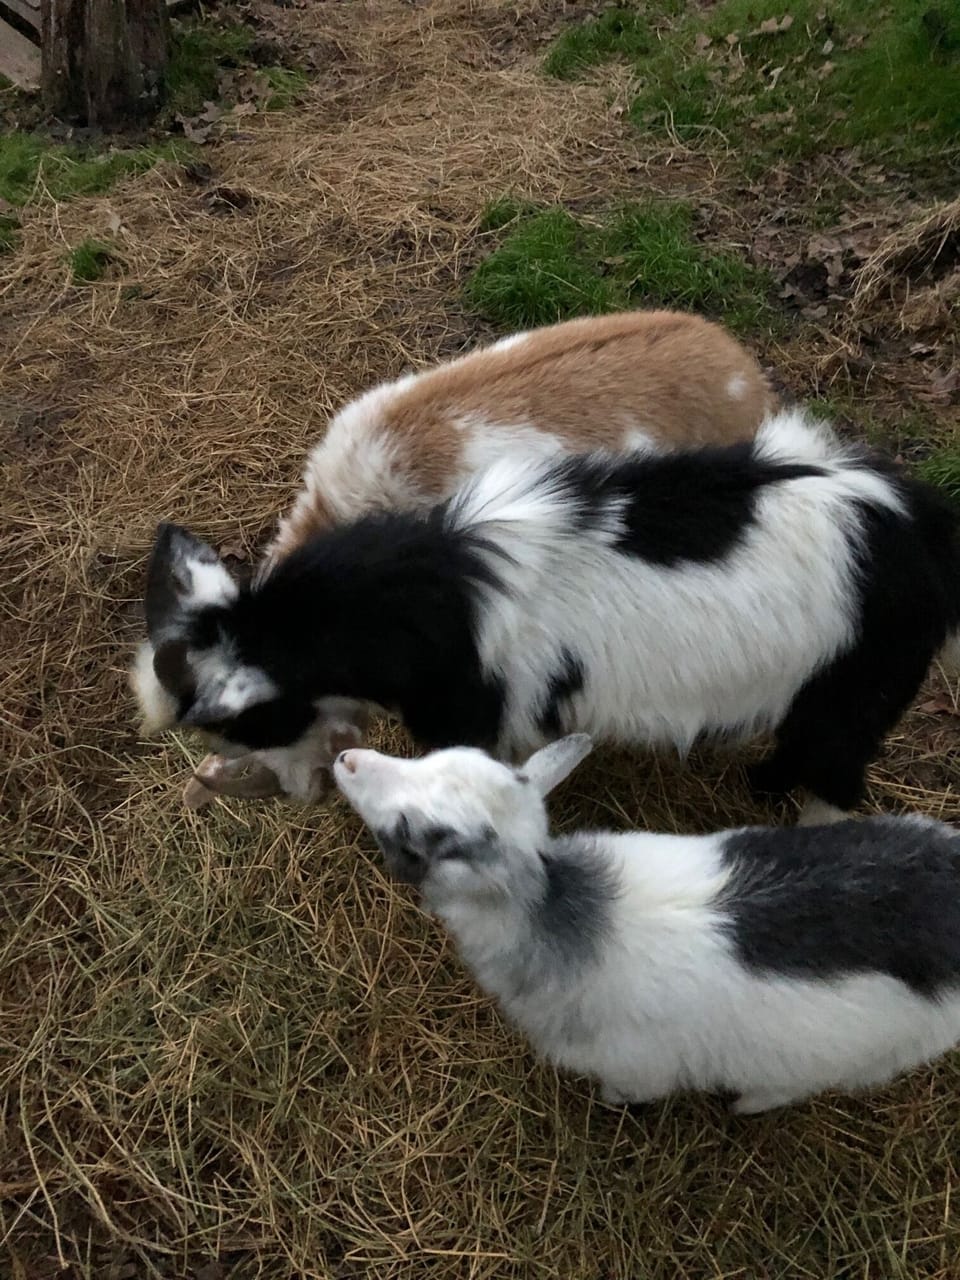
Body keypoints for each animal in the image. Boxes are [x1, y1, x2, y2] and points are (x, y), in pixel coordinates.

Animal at [131, 407, 960, 822]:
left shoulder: (469, 716)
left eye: (252, 722)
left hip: (852, 692)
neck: (430, 598)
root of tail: (919, 529)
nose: (296, 792)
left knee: (835, 775)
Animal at [333, 734, 960, 1115]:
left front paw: (610, 1102)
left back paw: (748, 1102)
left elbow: (625, 1088)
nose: (346, 760)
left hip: (881, 1051)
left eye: (414, 832)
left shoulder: (637, 1066)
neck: (559, 912)